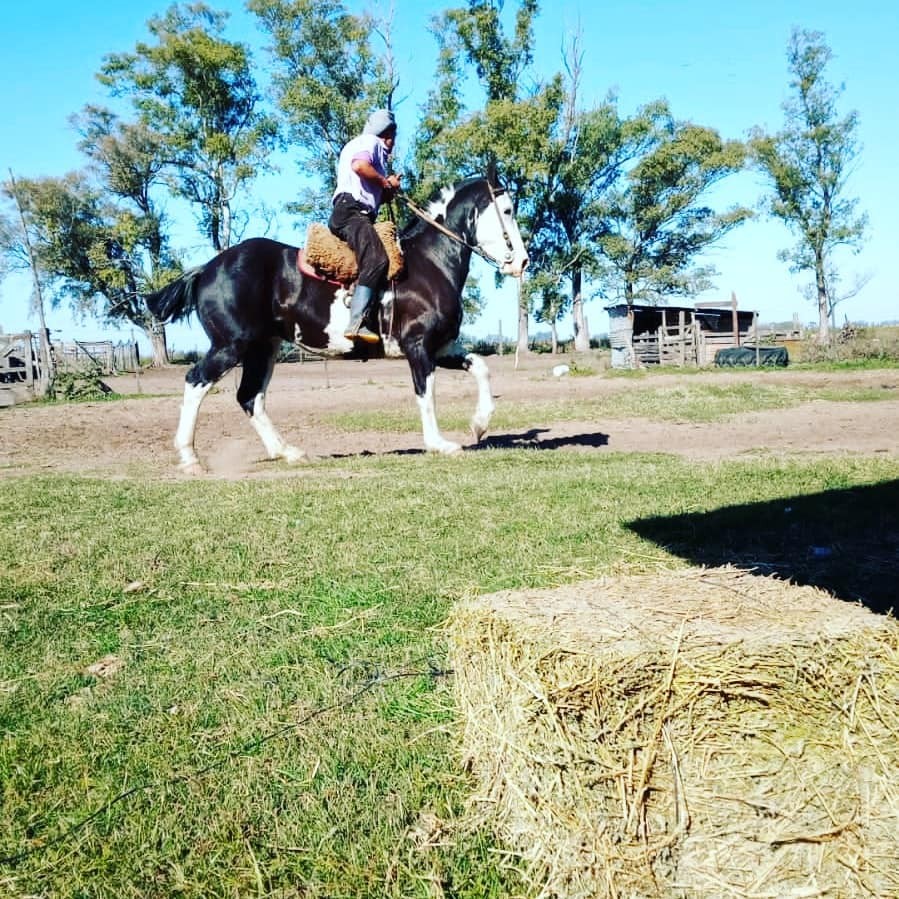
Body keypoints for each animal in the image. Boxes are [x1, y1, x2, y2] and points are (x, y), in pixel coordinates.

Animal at [144, 171, 532, 474]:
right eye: (508, 210)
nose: (524, 261)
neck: (429, 263)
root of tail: (207, 268)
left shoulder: (442, 346)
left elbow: (480, 367)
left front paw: (479, 425)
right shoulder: (418, 346)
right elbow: (427, 394)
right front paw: (439, 443)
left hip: (263, 349)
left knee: (250, 396)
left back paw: (287, 452)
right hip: (230, 346)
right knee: (196, 381)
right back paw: (190, 457)